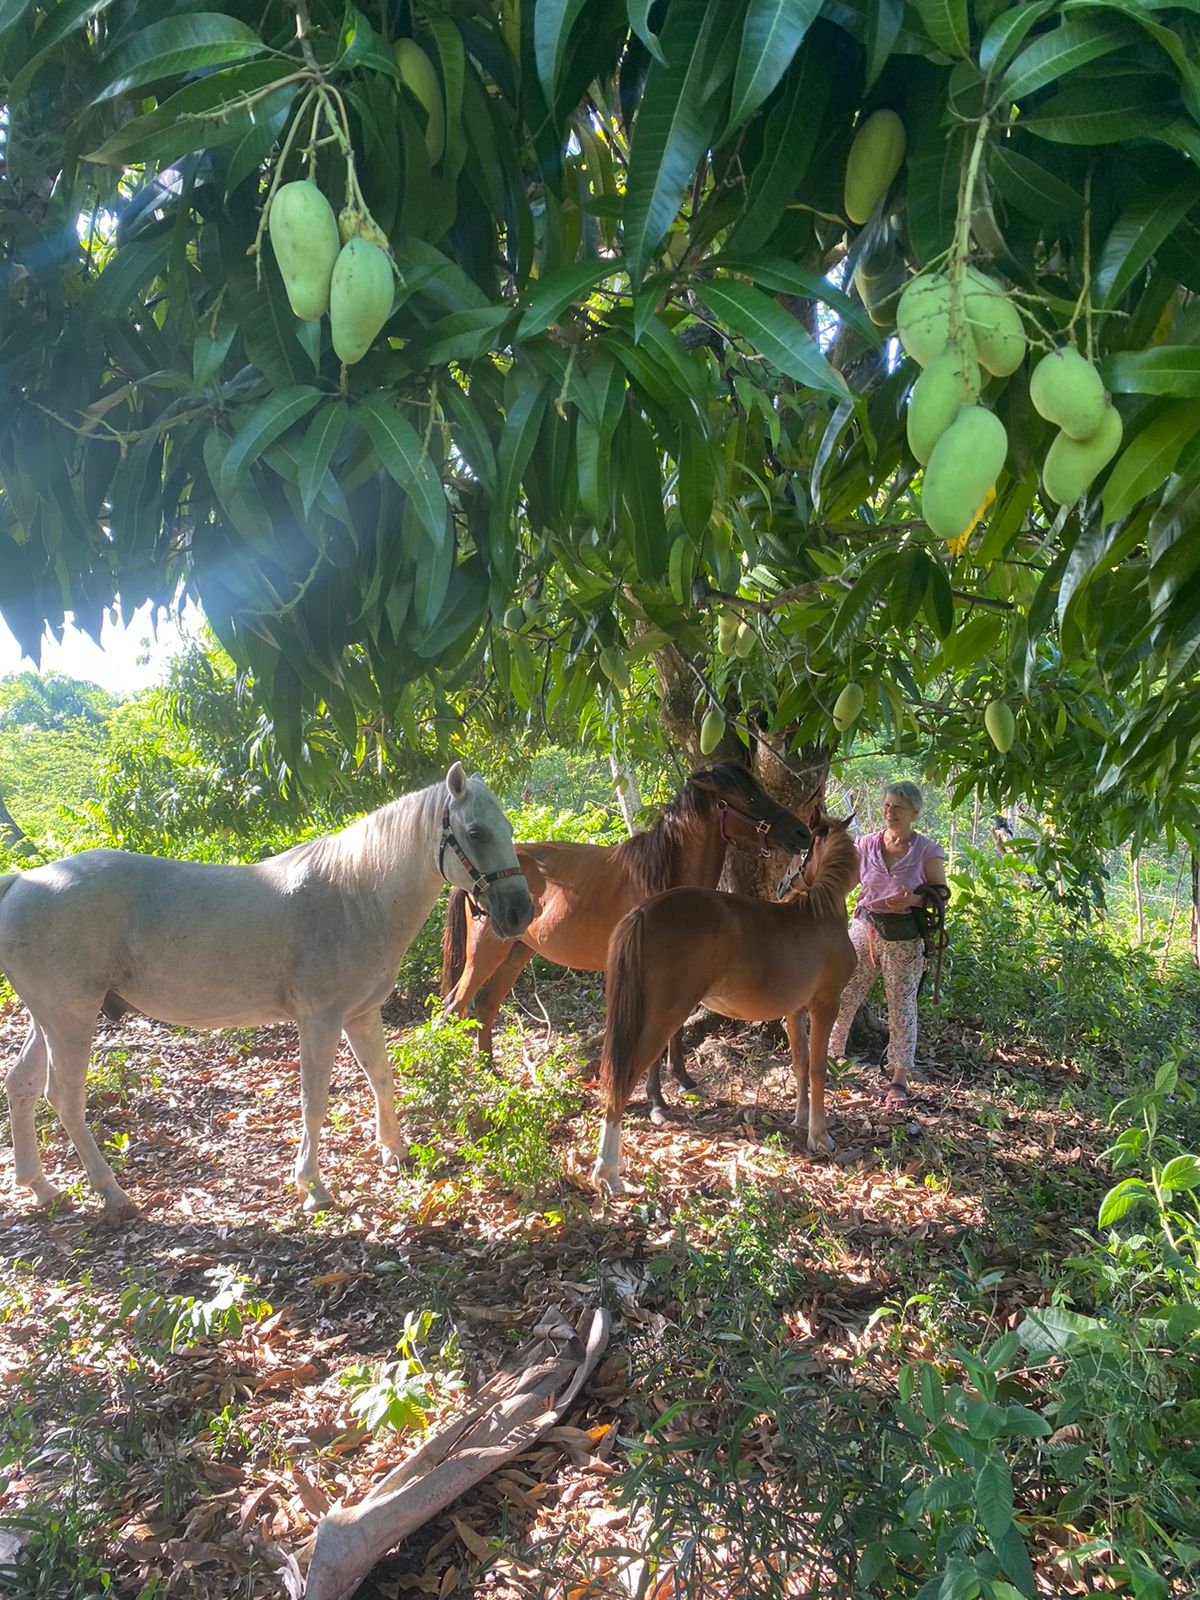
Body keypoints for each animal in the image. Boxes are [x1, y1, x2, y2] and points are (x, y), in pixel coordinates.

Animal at [0, 763, 533, 1219]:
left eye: (507, 829)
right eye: (476, 832)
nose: (520, 913)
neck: (356, 896)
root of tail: (22, 880)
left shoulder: (361, 1014)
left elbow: (381, 1077)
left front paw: (395, 1151)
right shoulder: (320, 1020)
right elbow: (314, 1099)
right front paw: (313, 1186)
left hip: (47, 1019)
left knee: (22, 1084)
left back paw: (41, 1187)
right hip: (71, 1018)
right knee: (64, 1096)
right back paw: (110, 1192)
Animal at [440, 762, 814, 1119]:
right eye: (750, 798)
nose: (803, 833)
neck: (663, 878)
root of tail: (477, 878)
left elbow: (675, 1030)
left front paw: (684, 1080)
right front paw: (657, 1101)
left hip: (517, 954)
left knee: (485, 1006)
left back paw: (491, 1072)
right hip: (485, 953)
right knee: (456, 1005)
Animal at [591, 816, 858, 1194]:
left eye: (802, 855)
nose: (782, 885)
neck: (819, 913)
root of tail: (644, 911)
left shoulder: (796, 1012)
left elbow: (801, 1064)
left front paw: (800, 1119)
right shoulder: (826, 1005)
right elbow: (818, 1068)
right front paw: (819, 1136)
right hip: (663, 1017)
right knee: (622, 1079)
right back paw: (608, 1173)